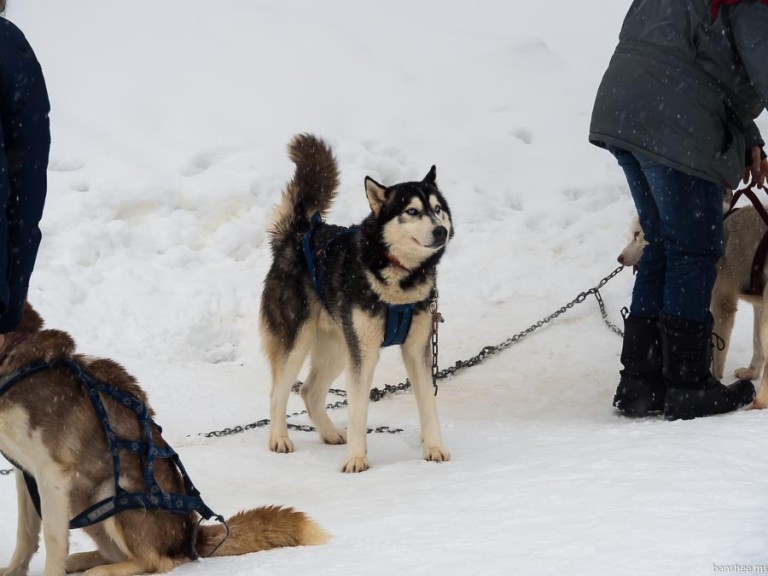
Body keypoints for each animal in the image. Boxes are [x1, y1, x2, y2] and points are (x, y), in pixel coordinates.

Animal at [0, 303, 326, 576]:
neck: (14, 359)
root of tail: (189, 536)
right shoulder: (25, 472)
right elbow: (26, 533)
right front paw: (14, 570)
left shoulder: (52, 474)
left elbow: (54, 539)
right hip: (86, 502)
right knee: (121, 554)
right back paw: (83, 561)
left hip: (113, 492)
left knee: (157, 561)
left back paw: (102, 571)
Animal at [260, 134, 453, 473]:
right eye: (412, 211)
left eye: (438, 209)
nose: (441, 230)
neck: (398, 279)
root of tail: (298, 233)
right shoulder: (364, 355)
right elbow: (358, 411)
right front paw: (356, 458)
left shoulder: (417, 349)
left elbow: (428, 404)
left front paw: (433, 447)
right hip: (298, 342)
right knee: (278, 393)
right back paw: (279, 438)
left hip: (339, 346)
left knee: (309, 391)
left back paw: (329, 432)